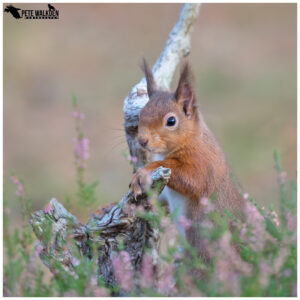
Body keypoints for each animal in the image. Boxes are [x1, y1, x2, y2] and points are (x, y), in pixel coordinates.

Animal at [129, 59, 244, 256]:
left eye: (171, 121)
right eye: (140, 115)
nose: (142, 140)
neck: (192, 139)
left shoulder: (204, 162)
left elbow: (192, 179)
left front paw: (143, 172)